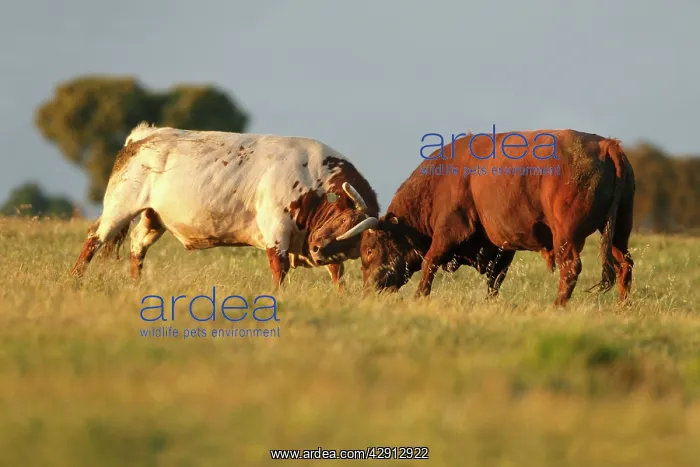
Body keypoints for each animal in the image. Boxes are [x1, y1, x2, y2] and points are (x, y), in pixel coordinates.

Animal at [70, 122, 380, 290]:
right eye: (343, 222)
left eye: (356, 246)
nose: (315, 250)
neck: (311, 180)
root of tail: (145, 134)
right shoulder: (276, 230)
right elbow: (279, 269)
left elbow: (336, 272)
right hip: (120, 206)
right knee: (94, 238)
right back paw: (74, 280)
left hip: (153, 217)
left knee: (137, 246)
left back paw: (136, 285)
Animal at [359, 129, 635, 306]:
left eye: (370, 250)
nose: (368, 290)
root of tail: (606, 145)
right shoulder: (502, 247)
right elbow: (495, 279)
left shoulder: (449, 231)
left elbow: (430, 263)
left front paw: (419, 297)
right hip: (618, 232)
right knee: (625, 265)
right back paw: (622, 307)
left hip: (566, 235)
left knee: (571, 268)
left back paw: (557, 306)